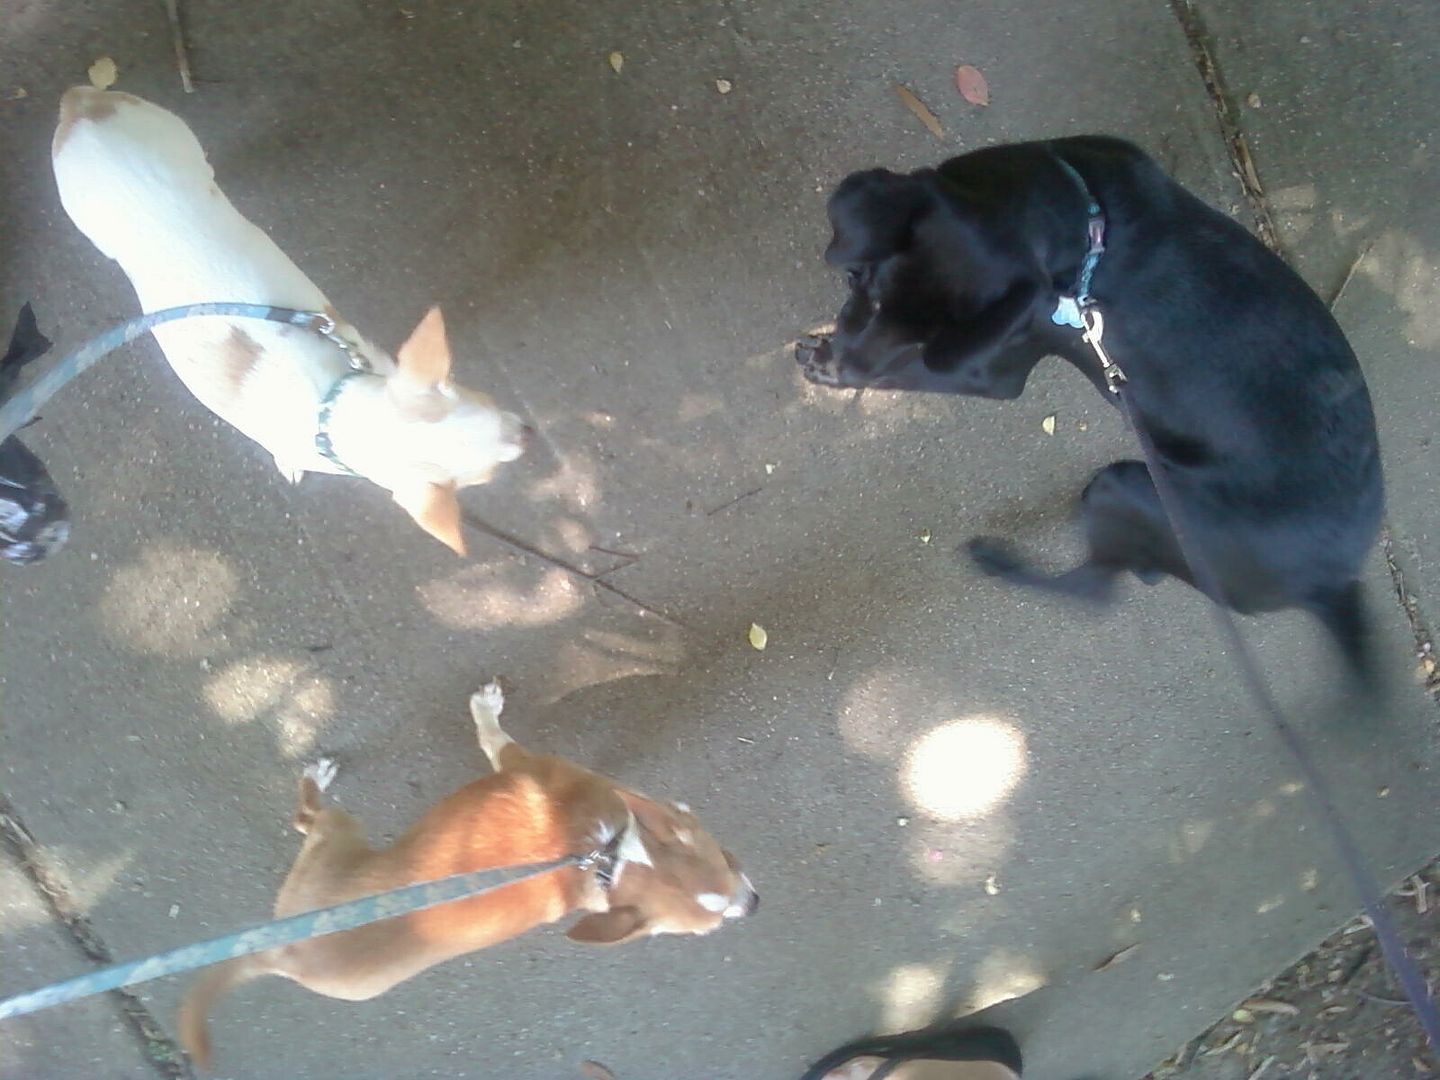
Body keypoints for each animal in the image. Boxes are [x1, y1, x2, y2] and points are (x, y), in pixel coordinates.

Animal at [52, 87, 535, 552]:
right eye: (488, 475)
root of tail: (82, 105)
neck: (335, 403)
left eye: (492, 401)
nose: (529, 431)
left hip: (164, 130)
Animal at [177, 679, 754, 1071]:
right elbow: (495, 735)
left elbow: (493, 737)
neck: (606, 856)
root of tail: (281, 952)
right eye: (730, 856)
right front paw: (485, 707)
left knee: (306, 819)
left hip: (336, 840)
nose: (754, 906)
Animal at [800, 135, 1382, 685]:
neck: (1082, 223)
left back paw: (999, 563)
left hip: (1133, 490)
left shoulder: (994, 367)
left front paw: (833, 370)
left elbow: (915, 371)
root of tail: (1333, 584)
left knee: (1093, 590)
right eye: (864, 285)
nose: (847, 363)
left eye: (933, 338)